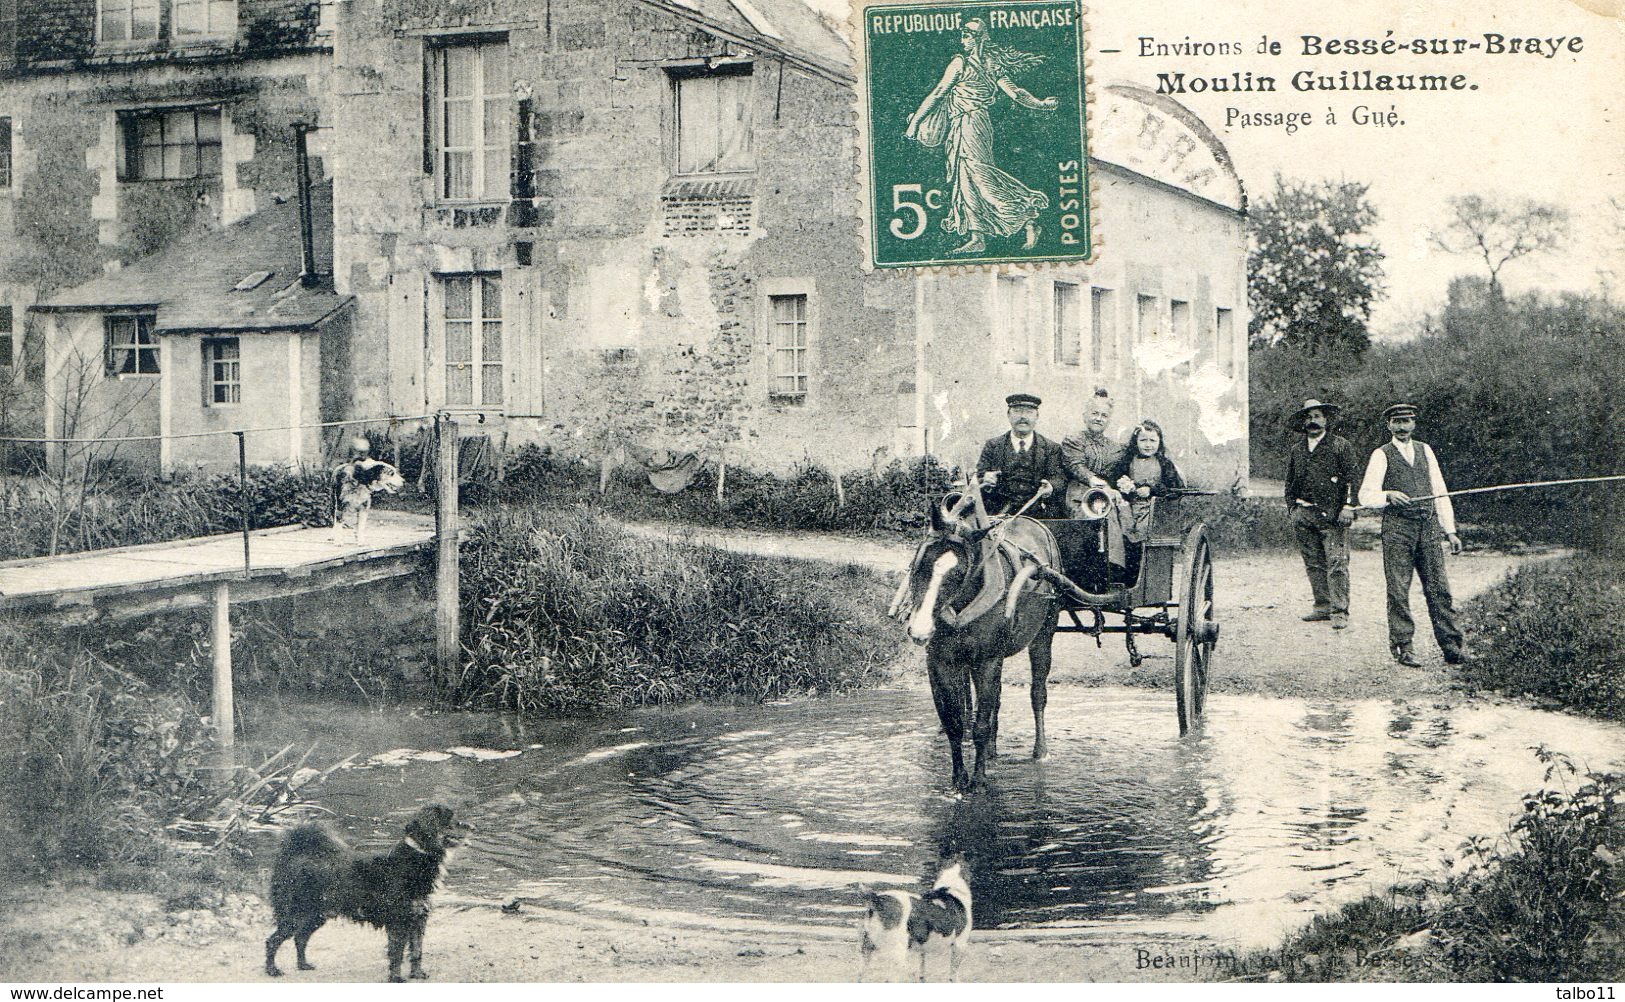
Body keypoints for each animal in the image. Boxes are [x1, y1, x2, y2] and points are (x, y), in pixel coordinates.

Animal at [264, 802, 471, 980]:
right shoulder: (399, 920)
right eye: (451, 819)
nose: (473, 827)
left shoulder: (418, 917)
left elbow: (417, 951)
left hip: (315, 915)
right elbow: (397, 953)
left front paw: (417, 974)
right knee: (273, 941)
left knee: (300, 938)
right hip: (294, 915)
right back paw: (272, 970)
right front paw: (396, 978)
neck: (415, 858)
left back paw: (303, 965)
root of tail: (294, 854)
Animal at [858, 850, 968, 980]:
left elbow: (922, 973)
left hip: (867, 951)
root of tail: (878, 900)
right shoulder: (959, 945)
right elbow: (953, 974)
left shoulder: (923, 951)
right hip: (897, 955)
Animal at [890, 480, 1066, 792]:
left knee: (1037, 694)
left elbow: (981, 723)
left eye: (959, 572)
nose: (919, 630)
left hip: (1043, 636)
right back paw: (994, 751)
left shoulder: (987, 660)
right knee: (994, 700)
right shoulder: (940, 662)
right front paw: (958, 780)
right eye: (920, 562)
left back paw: (1040, 751)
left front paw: (979, 780)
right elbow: (954, 721)